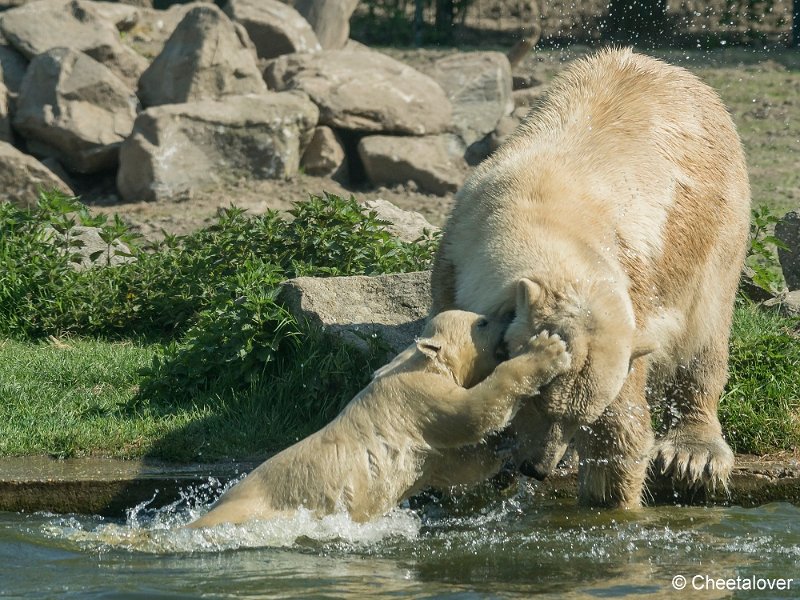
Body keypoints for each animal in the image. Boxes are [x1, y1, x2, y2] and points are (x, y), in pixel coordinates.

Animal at [432, 48, 752, 506]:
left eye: (579, 416)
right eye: (537, 402)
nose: (538, 468)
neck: (539, 212)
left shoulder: (629, 301)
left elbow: (620, 427)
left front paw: (610, 499)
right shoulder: (452, 262)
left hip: (718, 220)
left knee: (704, 331)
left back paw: (694, 454)